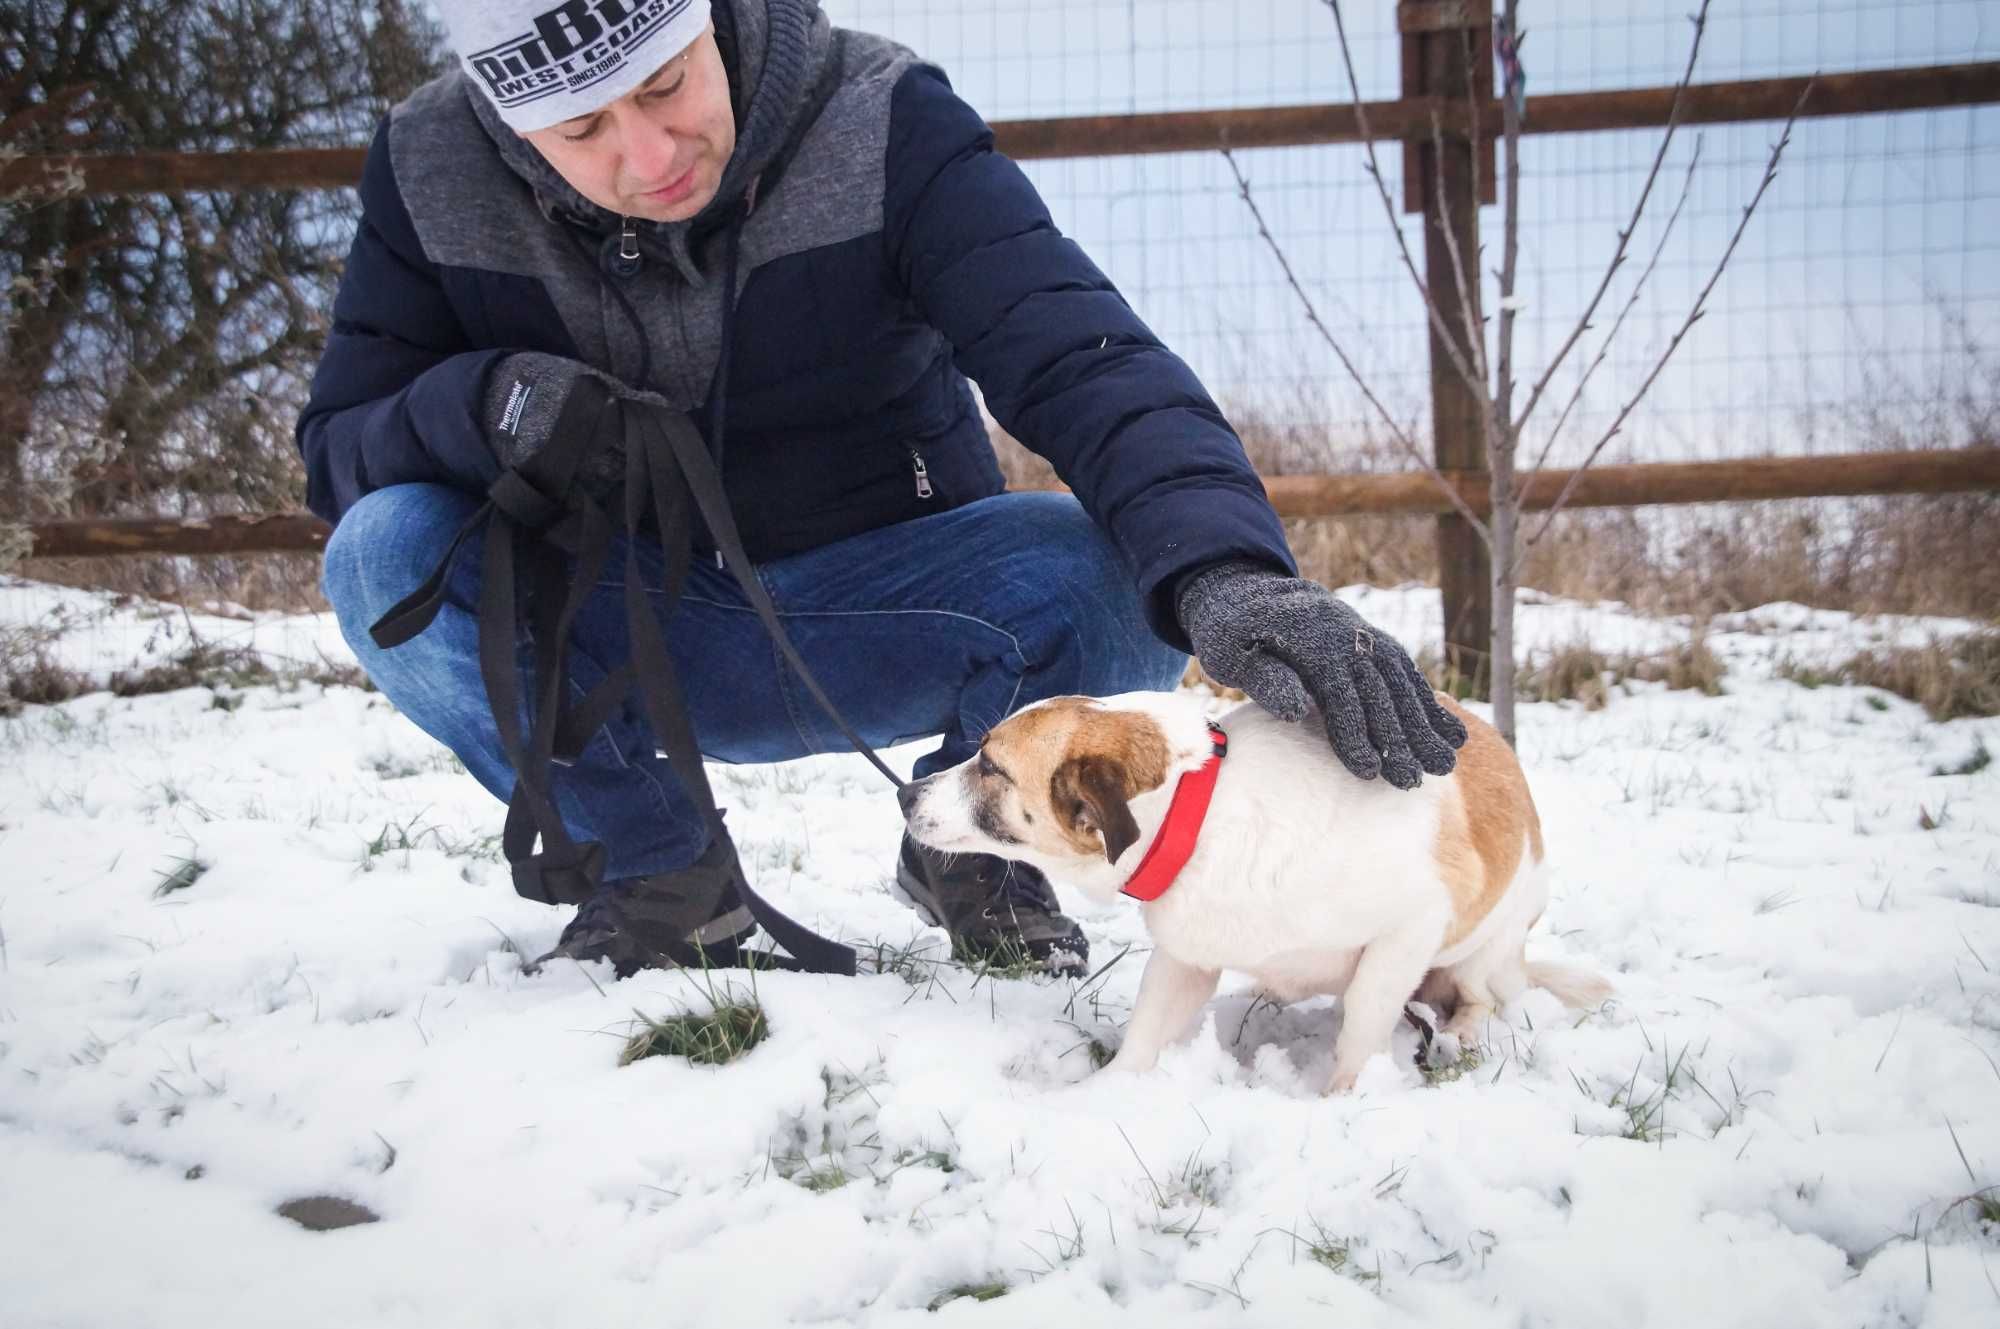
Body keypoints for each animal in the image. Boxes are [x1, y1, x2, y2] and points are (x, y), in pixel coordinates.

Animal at [904, 684, 1608, 1088]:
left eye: (991, 766)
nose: (905, 793)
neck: (1201, 812)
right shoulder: (1184, 959)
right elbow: (1145, 1034)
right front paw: (1108, 1099)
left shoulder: (1409, 930)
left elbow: (1361, 1025)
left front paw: (1342, 1100)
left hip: (1482, 949)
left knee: (1480, 997)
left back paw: (1461, 1031)